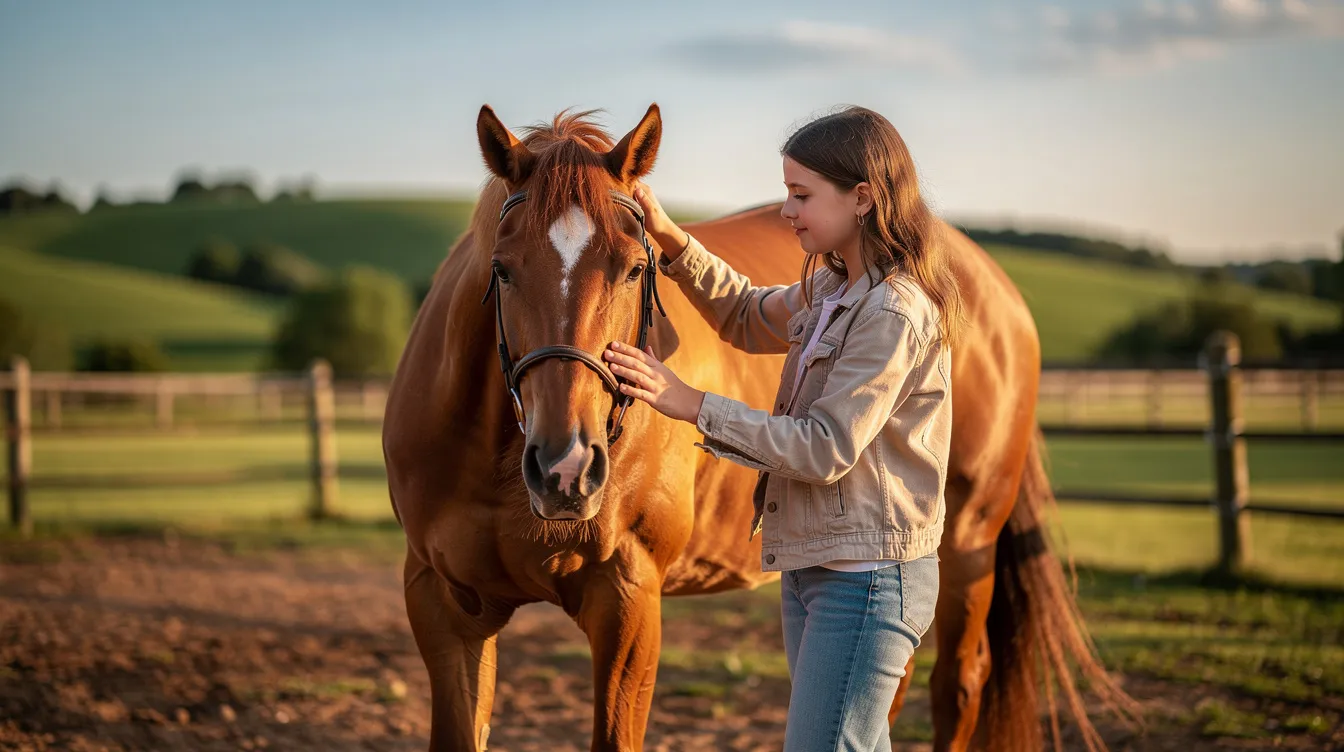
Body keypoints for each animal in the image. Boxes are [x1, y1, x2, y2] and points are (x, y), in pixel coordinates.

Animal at [382, 103, 1134, 751]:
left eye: (633, 268)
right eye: (502, 270)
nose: (565, 468)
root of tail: (989, 285)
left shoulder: (627, 600)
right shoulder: (443, 606)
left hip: (969, 542)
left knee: (957, 687)